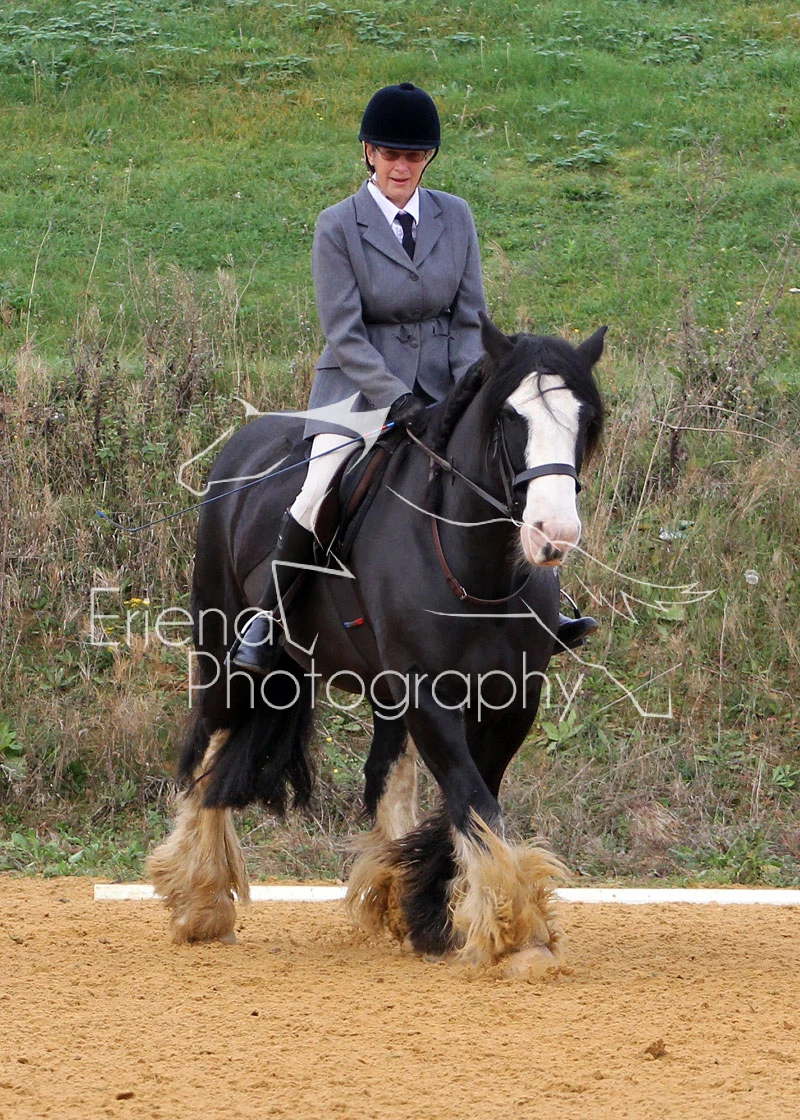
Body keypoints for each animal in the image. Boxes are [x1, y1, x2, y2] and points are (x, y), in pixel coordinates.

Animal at [148, 314, 605, 977]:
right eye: (509, 418)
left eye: (583, 420)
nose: (555, 534)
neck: (476, 568)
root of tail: (244, 442)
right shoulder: (427, 693)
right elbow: (472, 797)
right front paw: (518, 931)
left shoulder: (513, 698)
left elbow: (473, 797)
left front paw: (432, 909)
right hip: (224, 648)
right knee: (208, 747)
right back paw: (200, 899)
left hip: (375, 689)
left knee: (387, 771)